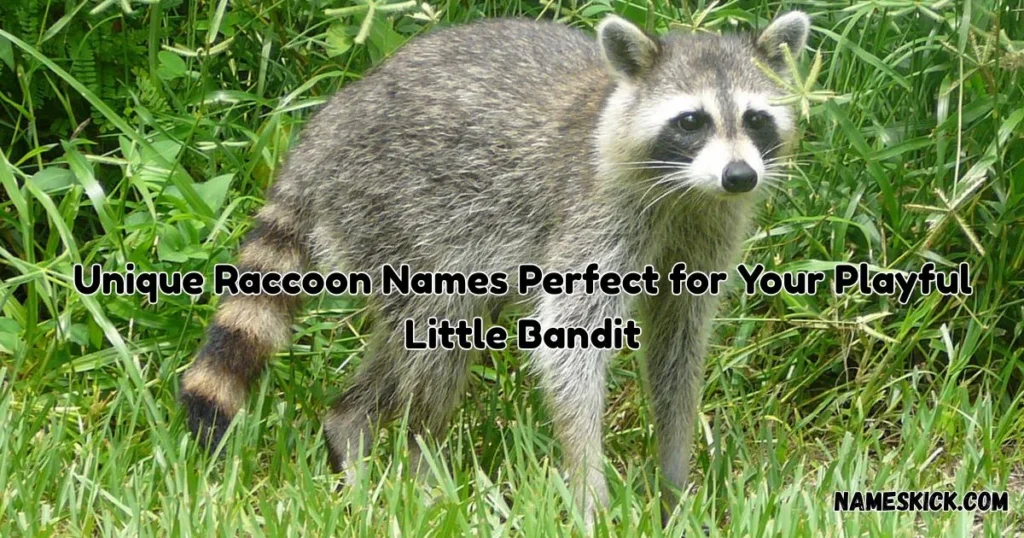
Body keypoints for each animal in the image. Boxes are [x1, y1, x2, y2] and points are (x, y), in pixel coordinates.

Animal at [179, 11, 810, 527]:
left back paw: (350, 428)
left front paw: (674, 485)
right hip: (395, 211)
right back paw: (420, 463)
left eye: (755, 119)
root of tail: (328, 125)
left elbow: (678, 349)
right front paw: (590, 488)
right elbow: (570, 348)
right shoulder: (593, 214)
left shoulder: (707, 230)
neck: (686, 191)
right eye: (691, 121)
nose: (739, 176)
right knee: (439, 337)